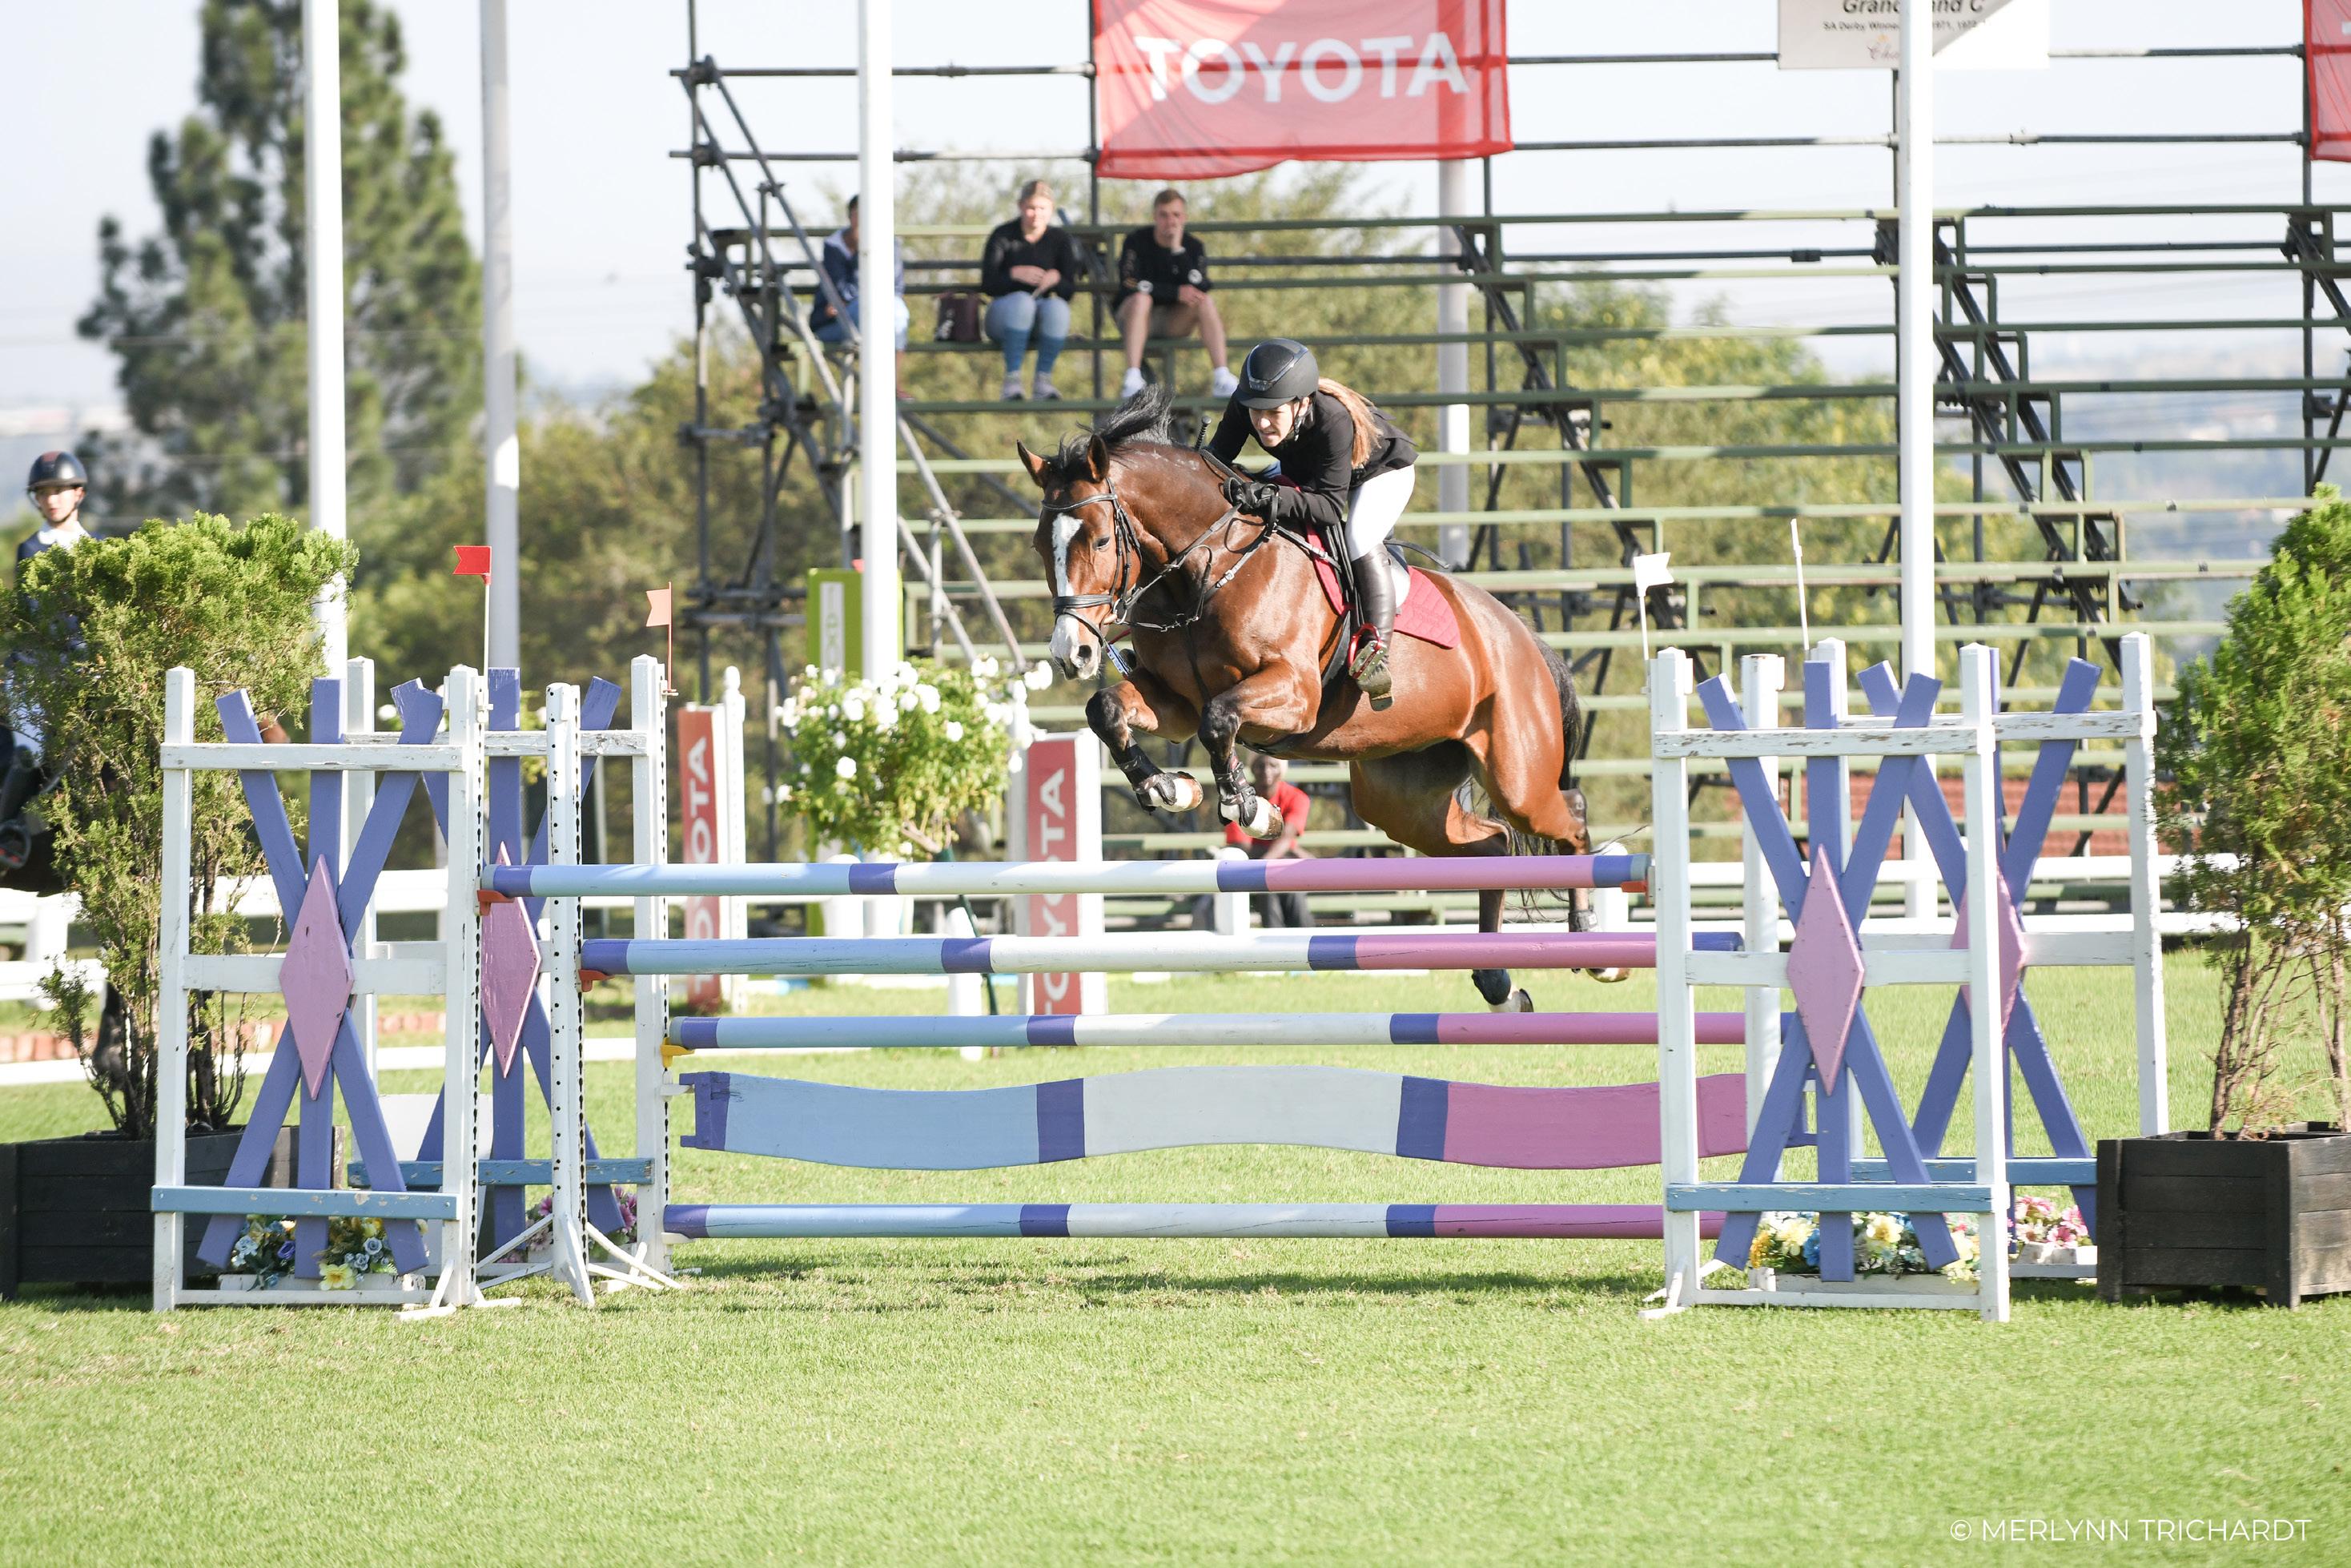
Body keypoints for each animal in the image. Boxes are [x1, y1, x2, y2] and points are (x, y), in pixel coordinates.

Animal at [1019, 387, 1610, 1011]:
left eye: (1101, 539)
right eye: (1040, 545)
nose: (1074, 653)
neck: (1207, 569)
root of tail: (1523, 636)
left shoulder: (1292, 693)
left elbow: (1219, 721)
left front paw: (1251, 808)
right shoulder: (1172, 701)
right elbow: (1108, 711)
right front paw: (1168, 787)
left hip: (1516, 773)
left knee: (1569, 812)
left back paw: (1592, 942)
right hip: (1401, 799)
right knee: (1493, 845)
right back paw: (1498, 982)